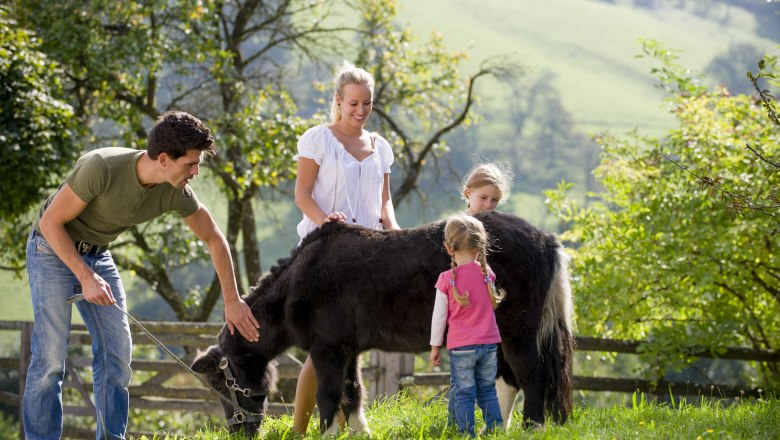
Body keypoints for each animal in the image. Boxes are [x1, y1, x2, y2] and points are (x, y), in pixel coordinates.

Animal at [192, 211, 576, 434]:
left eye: (221, 382)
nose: (239, 432)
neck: (300, 281)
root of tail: (545, 240)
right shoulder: (347, 351)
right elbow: (352, 393)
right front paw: (360, 432)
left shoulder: (327, 350)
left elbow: (329, 397)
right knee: (510, 381)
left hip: (518, 333)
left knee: (532, 378)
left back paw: (531, 427)